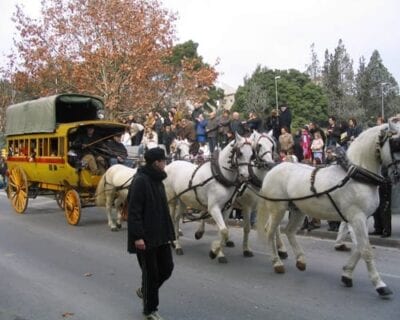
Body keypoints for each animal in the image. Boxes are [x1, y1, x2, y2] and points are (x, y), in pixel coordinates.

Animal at [165, 132, 253, 262]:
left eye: (252, 154)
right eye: (240, 153)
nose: (246, 176)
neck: (220, 175)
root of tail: (170, 165)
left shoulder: (227, 208)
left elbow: (223, 230)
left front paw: (219, 253)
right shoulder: (214, 208)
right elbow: (224, 230)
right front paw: (213, 252)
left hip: (183, 201)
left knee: (176, 219)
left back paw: (178, 244)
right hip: (172, 199)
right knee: (171, 218)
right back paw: (175, 244)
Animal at [256, 117, 400, 298]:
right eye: (396, 142)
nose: (397, 175)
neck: (356, 175)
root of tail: (274, 168)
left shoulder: (362, 219)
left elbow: (359, 247)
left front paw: (346, 274)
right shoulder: (357, 217)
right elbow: (366, 249)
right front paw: (380, 284)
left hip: (297, 210)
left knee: (288, 231)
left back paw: (300, 260)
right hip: (278, 209)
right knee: (270, 231)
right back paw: (277, 262)